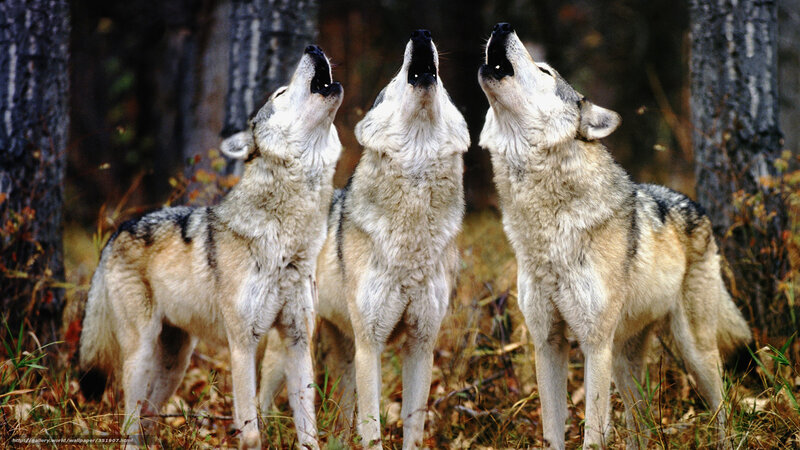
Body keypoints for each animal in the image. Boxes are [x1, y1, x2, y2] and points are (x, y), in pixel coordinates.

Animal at [78, 45, 343, 450]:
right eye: (280, 93)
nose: (313, 48)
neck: (287, 242)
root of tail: (118, 229)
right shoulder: (242, 344)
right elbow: (251, 430)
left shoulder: (297, 340)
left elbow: (308, 429)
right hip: (140, 355)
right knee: (130, 424)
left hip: (176, 362)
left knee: (149, 416)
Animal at [258, 30, 470, 449]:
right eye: (393, 81)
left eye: (445, 87)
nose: (421, 34)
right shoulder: (370, 345)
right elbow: (372, 429)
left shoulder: (421, 345)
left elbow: (413, 428)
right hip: (294, 348)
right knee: (261, 400)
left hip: (343, 354)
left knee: (340, 421)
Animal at [477, 23, 752, 449]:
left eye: (544, 70)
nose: (501, 27)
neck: (547, 229)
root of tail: (697, 205)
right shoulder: (547, 343)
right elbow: (553, 431)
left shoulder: (595, 345)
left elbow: (593, 433)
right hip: (625, 362)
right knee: (643, 427)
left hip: (693, 351)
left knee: (723, 409)